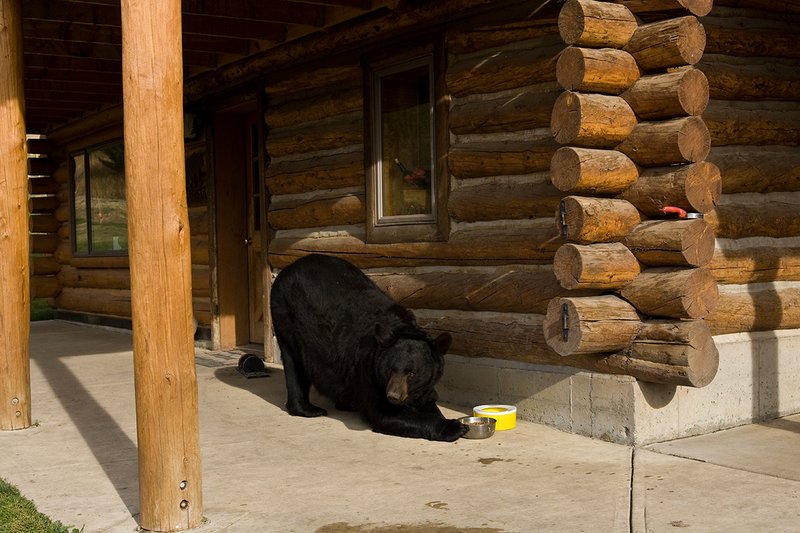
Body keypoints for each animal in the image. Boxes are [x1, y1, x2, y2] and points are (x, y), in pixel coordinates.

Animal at [269, 253, 468, 442]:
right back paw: (309, 409)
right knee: (293, 361)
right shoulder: (367, 370)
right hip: (286, 315)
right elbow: (385, 413)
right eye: (390, 369)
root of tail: (289, 267)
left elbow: (428, 399)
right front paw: (455, 427)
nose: (393, 396)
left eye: (412, 373)